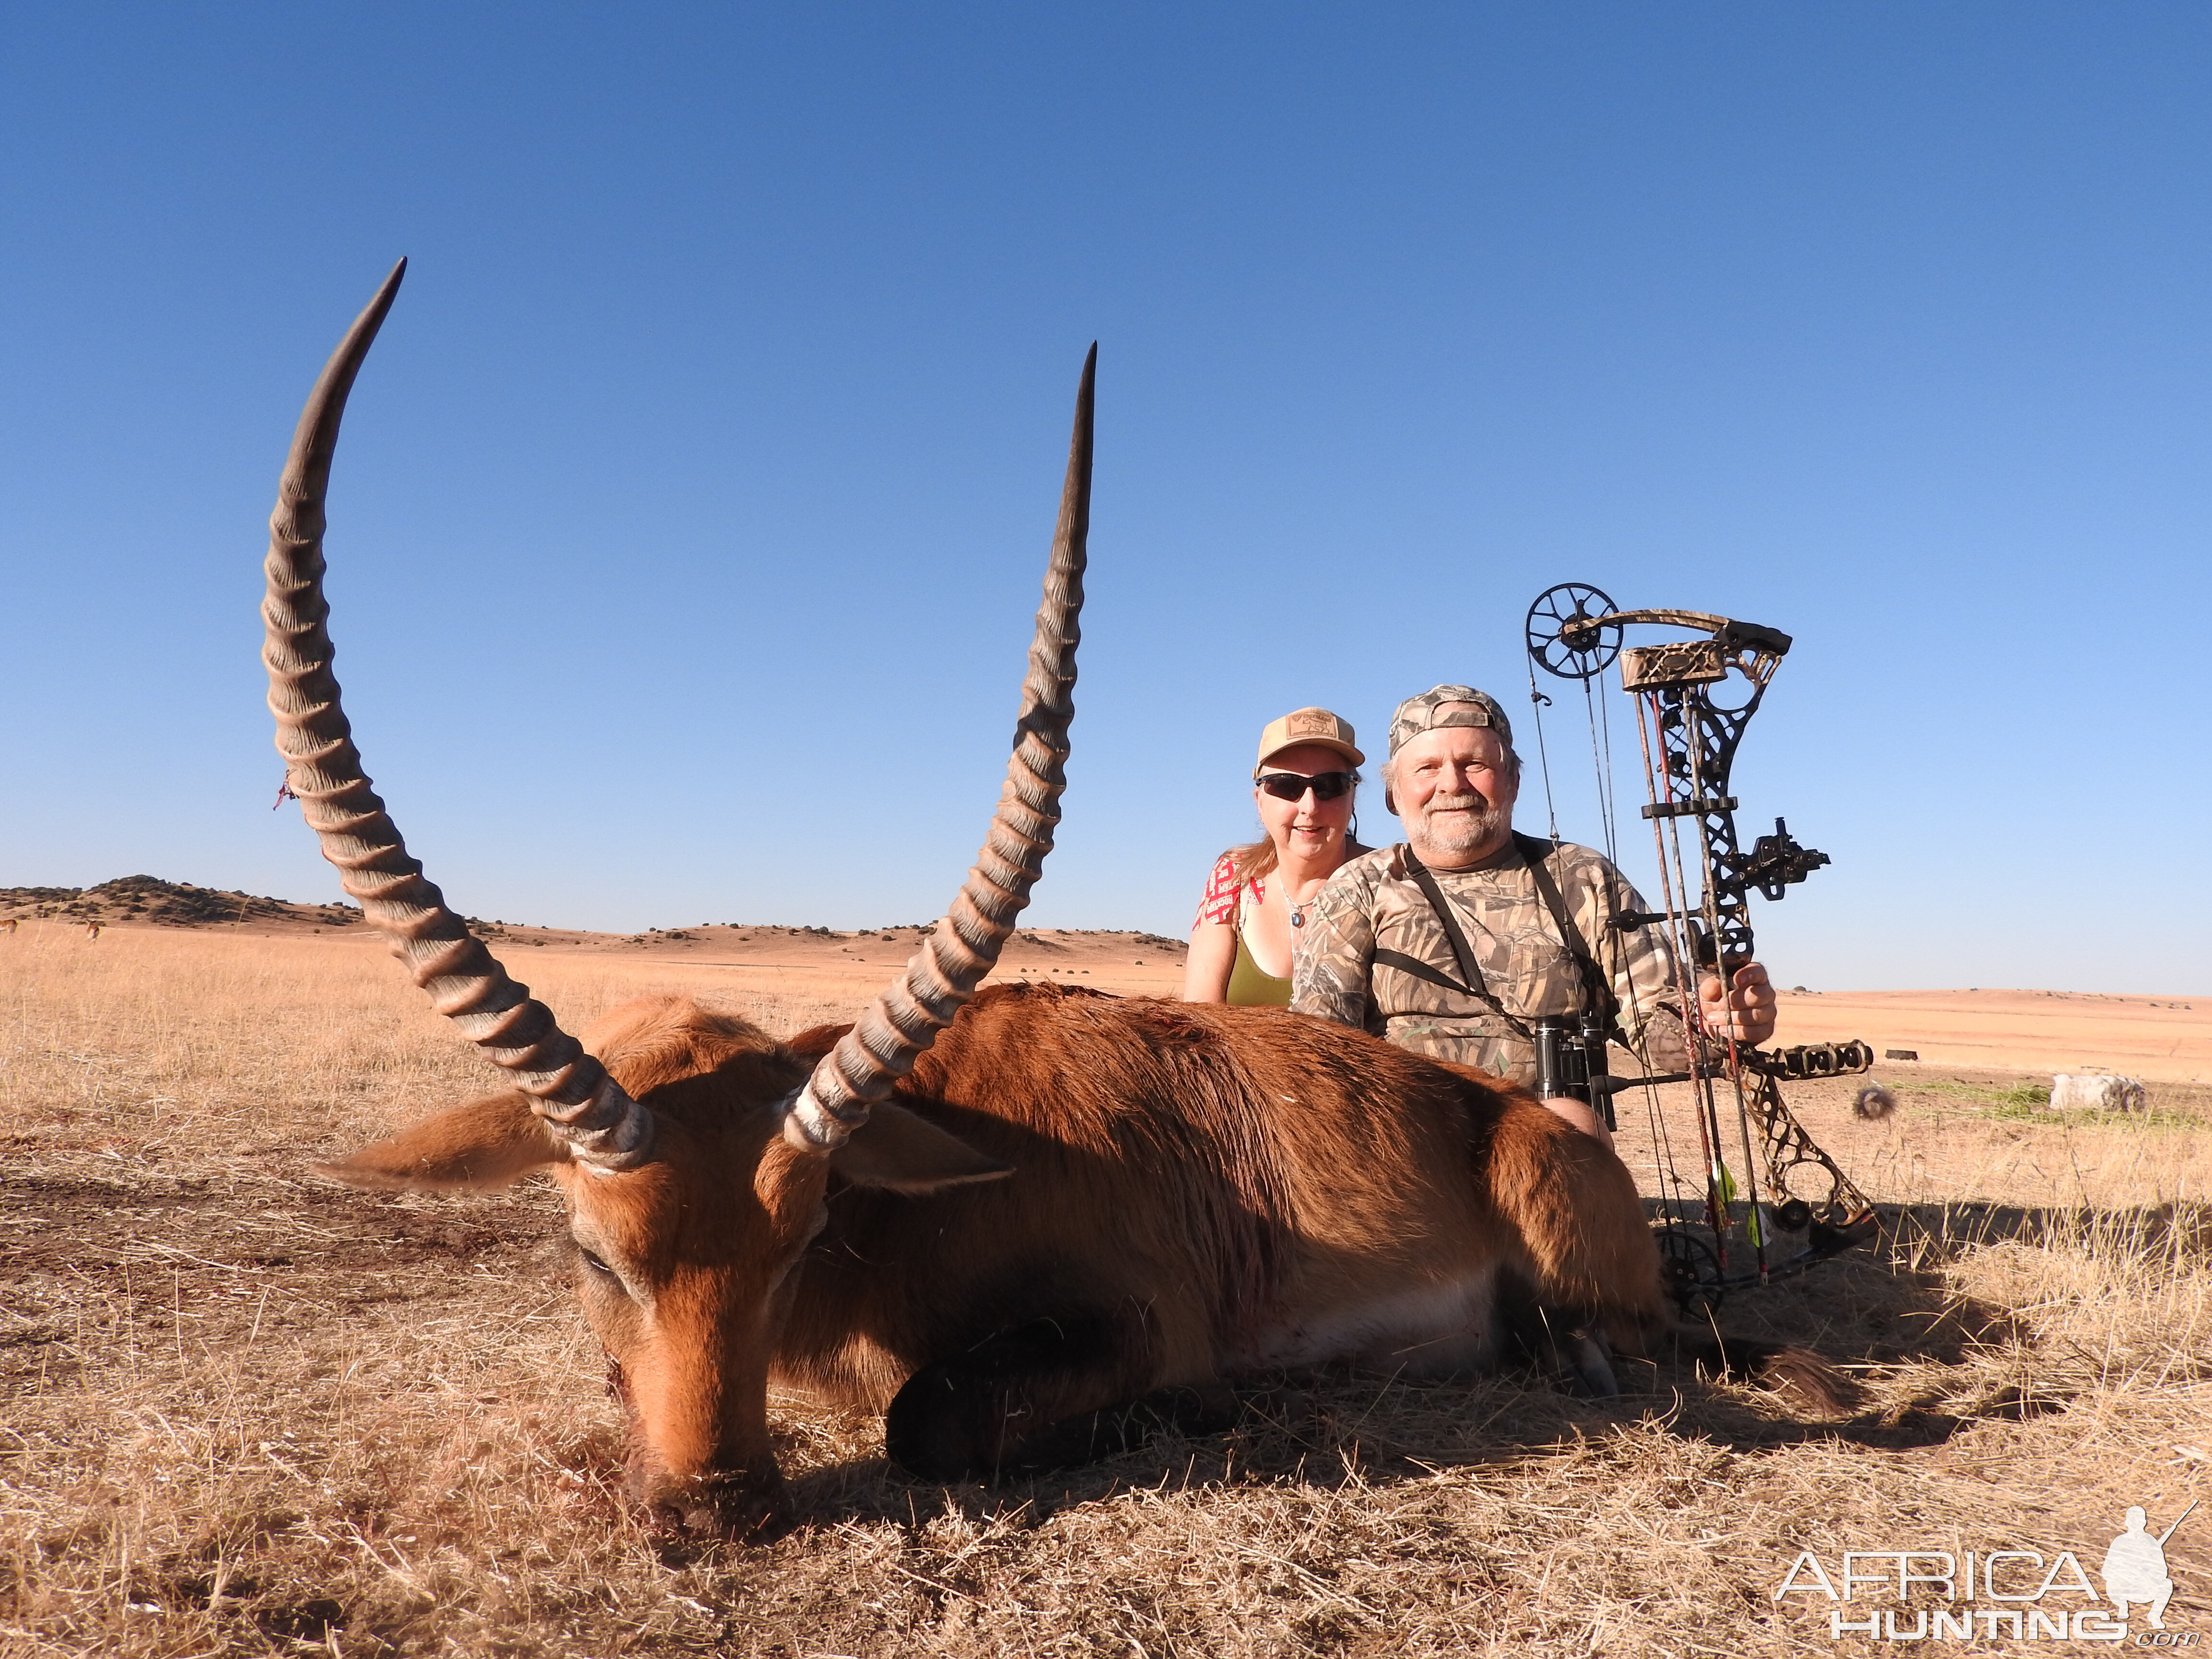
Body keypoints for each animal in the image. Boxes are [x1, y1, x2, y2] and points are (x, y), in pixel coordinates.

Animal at [272, 263, 1831, 1548]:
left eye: (803, 1237)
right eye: (593, 1252)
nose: (719, 1510)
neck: (945, 1147)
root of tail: (1515, 1116)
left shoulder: (1137, 1318)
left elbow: (928, 1416)